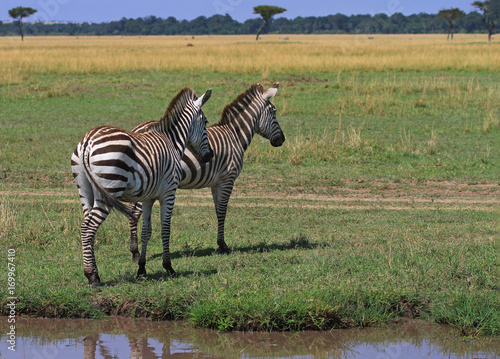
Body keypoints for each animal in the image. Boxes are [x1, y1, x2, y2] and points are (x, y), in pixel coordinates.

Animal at [71, 88, 213, 286]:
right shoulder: (169, 193)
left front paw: (142, 269)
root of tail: (88, 141)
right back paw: (92, 276)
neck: (172, 141)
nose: (210, 156)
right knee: (88, 228)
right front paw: (169, 267)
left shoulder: (147, 197)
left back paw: (93, 272)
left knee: (86, 227)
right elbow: (165, 229)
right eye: (206, 122)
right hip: (108, 188)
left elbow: (146, 231)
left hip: (85, 190)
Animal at [128, 83, 286, 260]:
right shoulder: (227, 179)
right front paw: (223, 245)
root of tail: (136, 129)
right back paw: (135, 251)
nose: (282, 140)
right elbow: (223, 211)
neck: (235, 136)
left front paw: (220, 243)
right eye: (274, 112)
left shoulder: (216, 183)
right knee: (135, 211)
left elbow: (218, 210)